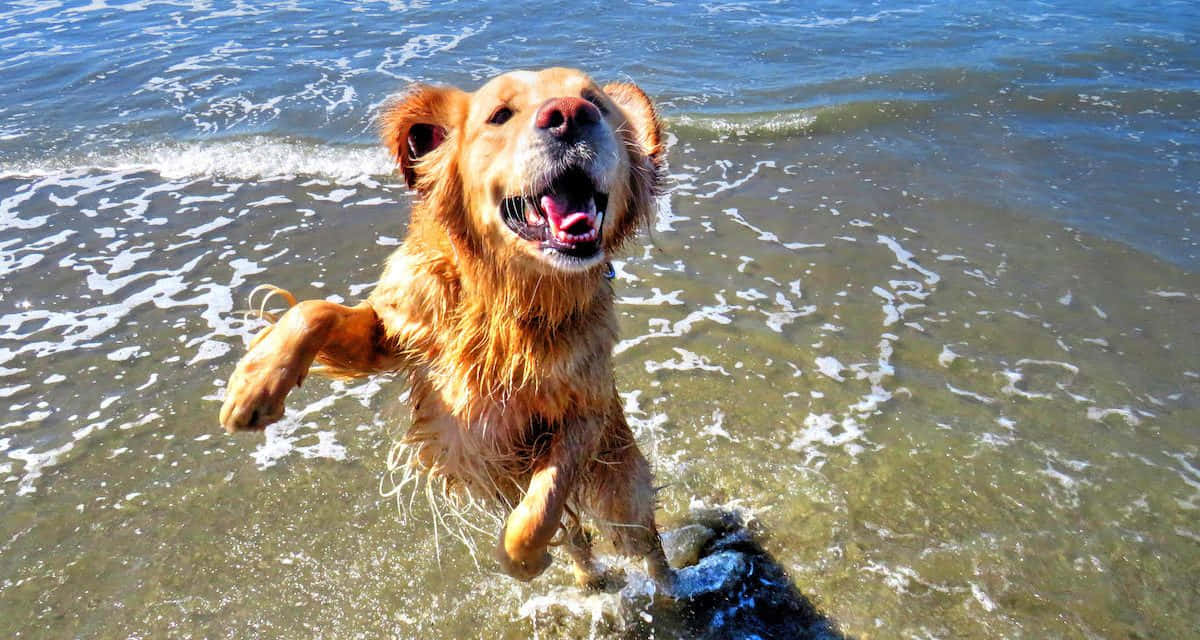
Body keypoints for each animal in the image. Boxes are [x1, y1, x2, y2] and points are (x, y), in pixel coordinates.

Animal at [217, 67, 676, 590]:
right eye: (500, 115)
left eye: (595, 103)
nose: (570, 114)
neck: (503, 300)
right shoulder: (395, 331)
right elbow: (315, 311)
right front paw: (254, 385)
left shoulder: (585, 413)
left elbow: (539, 506)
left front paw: (523, 559)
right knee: (579, 535)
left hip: (621, 489)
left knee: (642, 541)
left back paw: (671, 593)